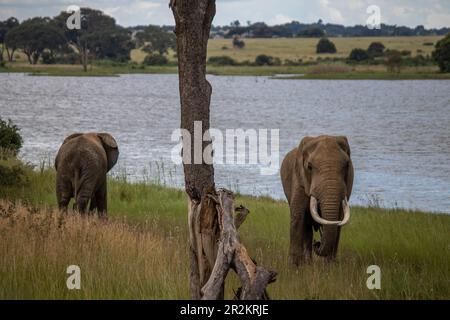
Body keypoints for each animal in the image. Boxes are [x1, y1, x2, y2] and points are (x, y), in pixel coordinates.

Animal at [280, 135, 354, 264]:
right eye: (309, 167)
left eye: (347, 166)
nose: (317, 243)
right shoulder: (299, 179)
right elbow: (297, 216)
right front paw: (294, 267)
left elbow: (339, 218)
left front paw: (330, 266)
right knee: (306, 227)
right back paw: (307, 263)